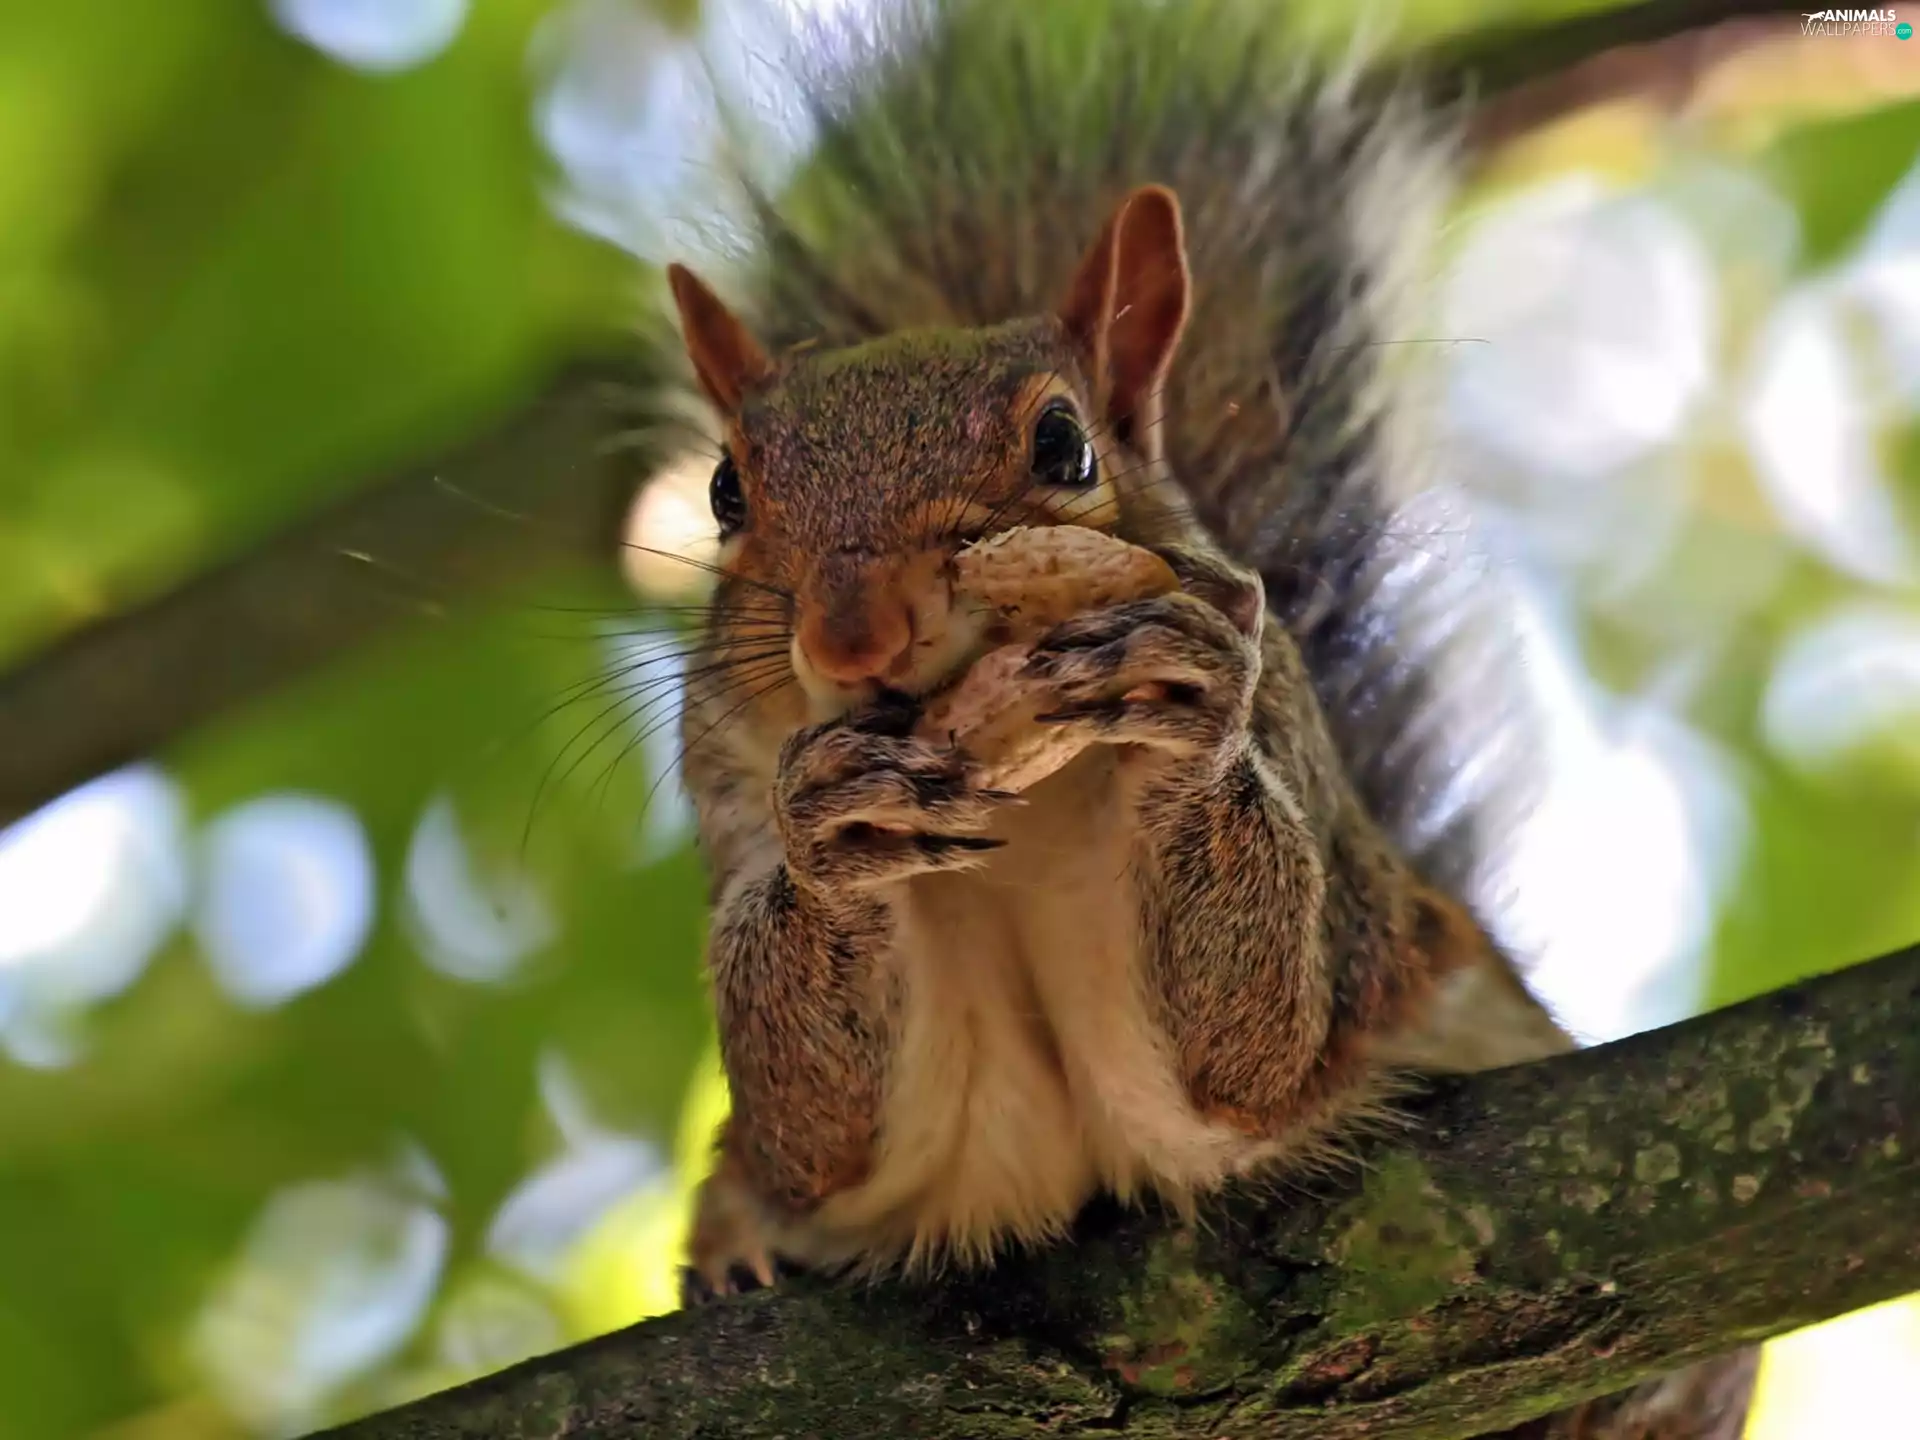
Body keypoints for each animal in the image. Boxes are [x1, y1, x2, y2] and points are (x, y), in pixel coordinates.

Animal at [650, 1, 1758, 1435]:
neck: (1031, 815)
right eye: (726, 492)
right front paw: (832, 844)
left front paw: (1187, 718)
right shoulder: (732, 805)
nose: (852, 636)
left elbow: (1255, 1051)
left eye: (1065, 447)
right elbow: (811, 1137)